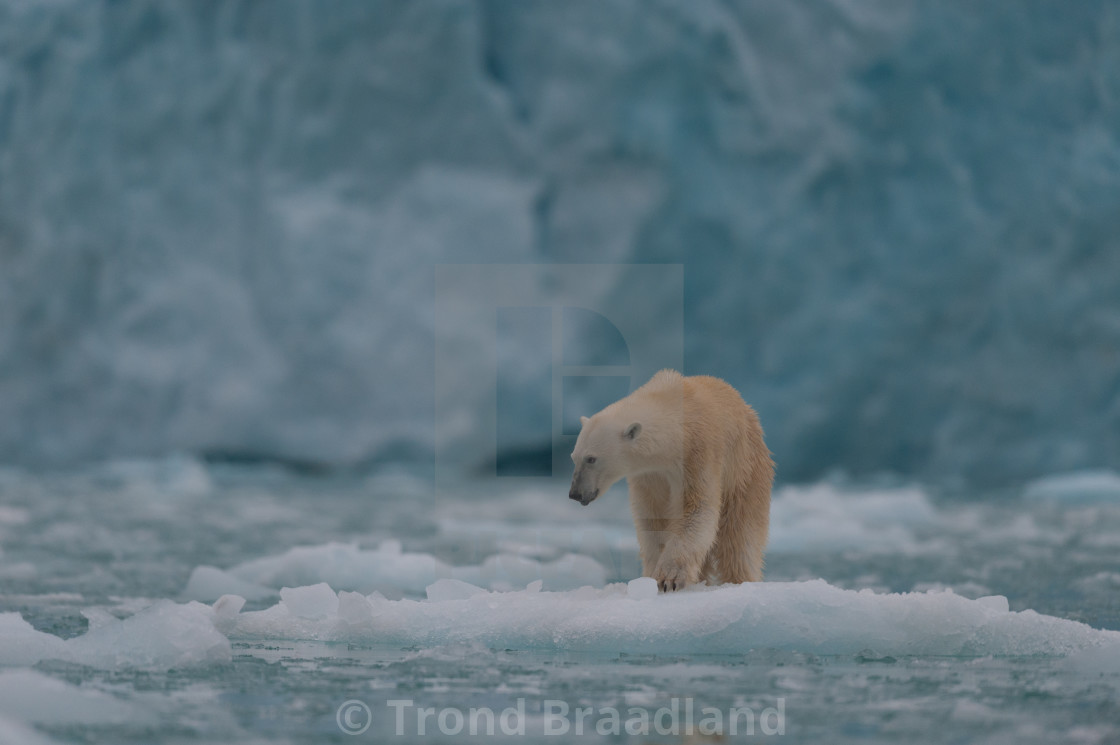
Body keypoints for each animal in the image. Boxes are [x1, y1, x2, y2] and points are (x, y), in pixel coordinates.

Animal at [568, 369, 770, 591]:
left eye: (591, 459)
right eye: (573, 457)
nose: (575, 493)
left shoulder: (698, 454)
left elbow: (697, 509)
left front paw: (668, 577)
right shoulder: (650, 474)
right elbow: (653, 517)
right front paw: (650, 576)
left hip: (745, 470)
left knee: (739, 537)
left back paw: (739, 579)